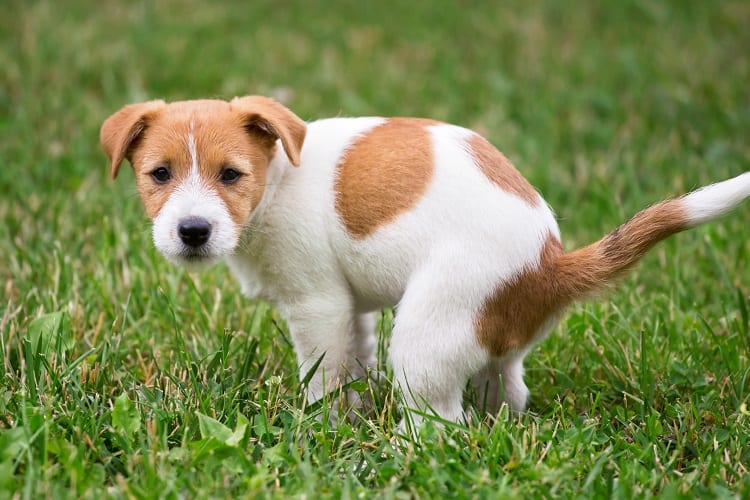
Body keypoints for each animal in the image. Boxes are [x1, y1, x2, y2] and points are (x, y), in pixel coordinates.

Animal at [103, 96, 750, 426]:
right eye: (159, 174)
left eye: (231, 175)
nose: (192, 231)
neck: (279, 176)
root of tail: (549, 265)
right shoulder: (350, 309)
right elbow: (354, 362)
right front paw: (354, 413)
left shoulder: (317, 305)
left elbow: (325, 375)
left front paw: (324, 430)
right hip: (487, 341)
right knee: (505, 392)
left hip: (425, 337)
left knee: (442, 423)